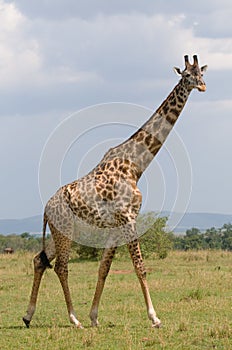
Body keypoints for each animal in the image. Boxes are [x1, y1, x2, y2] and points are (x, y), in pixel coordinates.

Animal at [23, 54, 207, 328]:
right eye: (186, 75)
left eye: (201, 73)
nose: (202, 86)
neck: (135, 165)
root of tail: (46, 208)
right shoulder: (128, 218)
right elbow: (140, 267)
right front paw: (154, 317)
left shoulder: (117, 224)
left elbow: (104, 268)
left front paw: (95, 316)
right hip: (65, 230)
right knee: (61, 267)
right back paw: (73, 319)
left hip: (61, 232)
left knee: (40, 260)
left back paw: (28, 315)